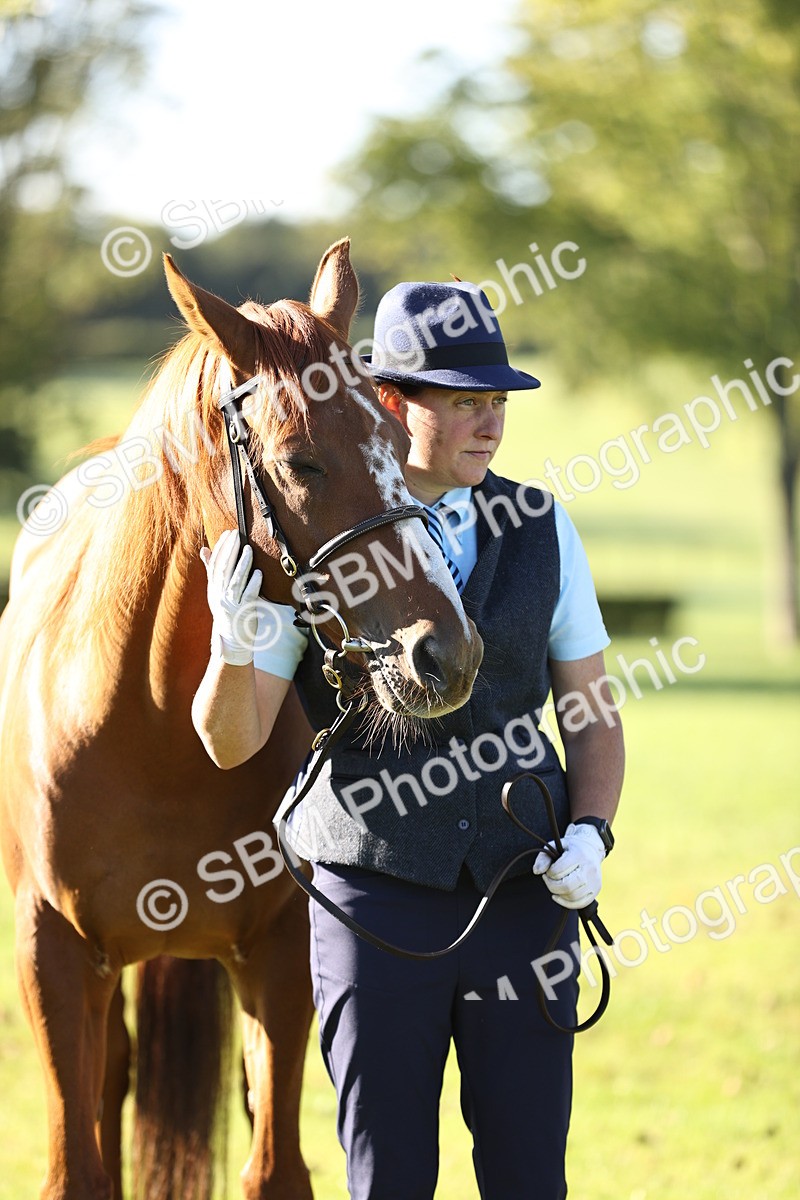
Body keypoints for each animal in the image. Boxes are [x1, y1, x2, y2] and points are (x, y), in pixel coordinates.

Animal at [0, 238, 484, 1200]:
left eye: (396, 442)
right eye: (301, 462)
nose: (444, 654)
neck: (149, 727)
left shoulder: (280, 954)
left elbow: (275, 1168)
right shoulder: (51, 955)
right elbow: (79, 1166)